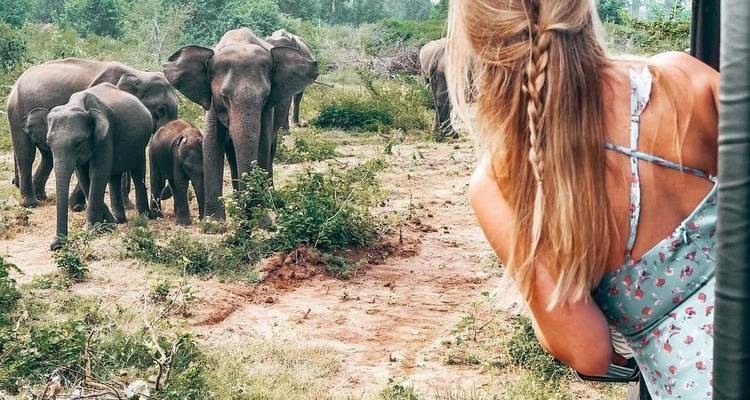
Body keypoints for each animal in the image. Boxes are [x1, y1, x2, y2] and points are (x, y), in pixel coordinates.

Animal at [6, 58, 179, 209]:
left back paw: (41, 196)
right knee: (26, 154)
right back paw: (30, 203)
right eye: (160, 110)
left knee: (48, 156)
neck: (138, 74)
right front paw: (77, 206)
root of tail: (16, 83)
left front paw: (127, 206)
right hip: (16, 111)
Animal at [47, 83, 153, 250]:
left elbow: (98, 172)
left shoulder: (106, 136)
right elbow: (84, 176)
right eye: (48, 143)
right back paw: (120, 220)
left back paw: (144, 217)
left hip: (140, 143)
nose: (55, 245)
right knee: (114, 177)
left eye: (78, 142)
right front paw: (108, 226)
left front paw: (91, 230)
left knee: (138, 172)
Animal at [164, 28, 319, 220]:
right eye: (224, 97)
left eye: (265, 97)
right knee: (232, 155)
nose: (250, 212)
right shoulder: (212, 103)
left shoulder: (267, 109)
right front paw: (214, 222)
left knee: (271, 147)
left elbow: (262, 143)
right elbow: (212, 143)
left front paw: (260, 217)